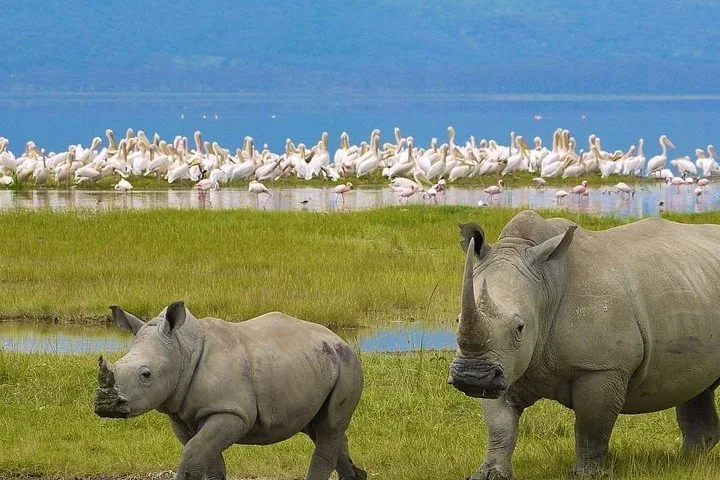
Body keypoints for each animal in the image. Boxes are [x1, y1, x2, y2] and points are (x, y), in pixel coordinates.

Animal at [94, 301, 366, 480]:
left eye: (146, 375)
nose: (105, 405)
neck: (182, 350)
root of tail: (338, 338)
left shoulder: (231, 411)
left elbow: (194, 455)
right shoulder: (182, 414)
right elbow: (206, 457)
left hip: (347, 364)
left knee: (329, 426)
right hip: (317, 363)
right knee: (321, 427)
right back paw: (355, 475)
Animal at [447, 211, 720, 479]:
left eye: (520, 328)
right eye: (458, 319)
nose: (472, 376)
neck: (546, 285)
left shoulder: (601, 367)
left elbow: (591, 426)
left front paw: (586, 475)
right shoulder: (504, 365)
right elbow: (500, 425)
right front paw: (488, 474)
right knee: (697, 387)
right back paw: (689, 462)